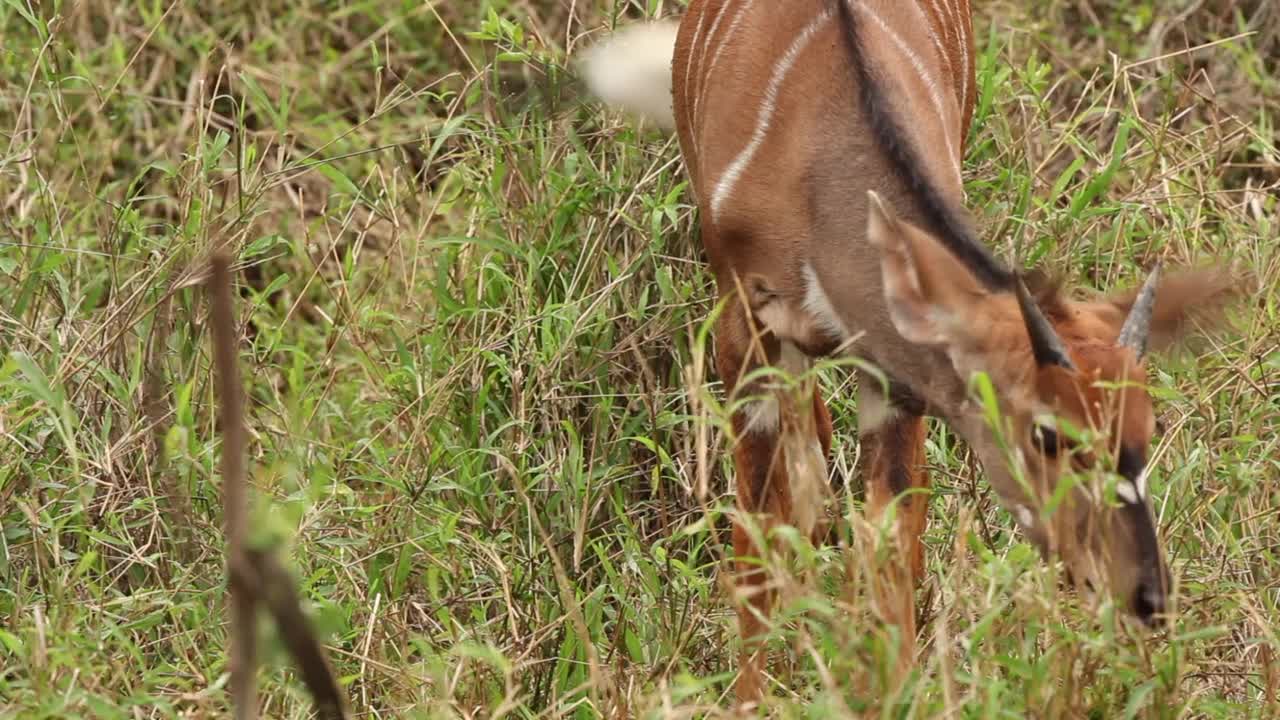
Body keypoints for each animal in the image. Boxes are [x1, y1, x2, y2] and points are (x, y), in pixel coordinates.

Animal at [583, 0, 1239, 696]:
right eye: (1048, 434)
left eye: (1149, 426)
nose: (1147, 596)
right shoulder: (743, 321)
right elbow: (757, 538)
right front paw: (752, 697)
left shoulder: (893, 368)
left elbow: (889, 539)